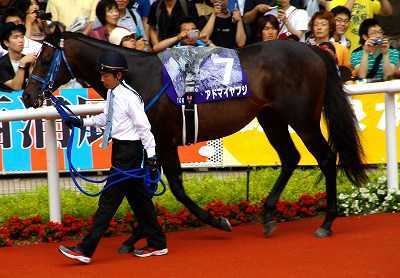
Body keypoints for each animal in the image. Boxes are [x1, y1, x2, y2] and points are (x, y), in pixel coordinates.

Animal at [21, 32, 366, 237]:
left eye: (44, 58)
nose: (27, 95)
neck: (137, 76)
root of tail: (314, 51)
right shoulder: (152, 142)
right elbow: (142, 186)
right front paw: (139, 235)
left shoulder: (163, 139)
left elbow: (173, 186)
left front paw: (216, 220)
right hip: (271, 117)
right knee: (291, 157)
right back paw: (268, 214)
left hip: (302, 118)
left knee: (326, 157)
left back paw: (326, 222)